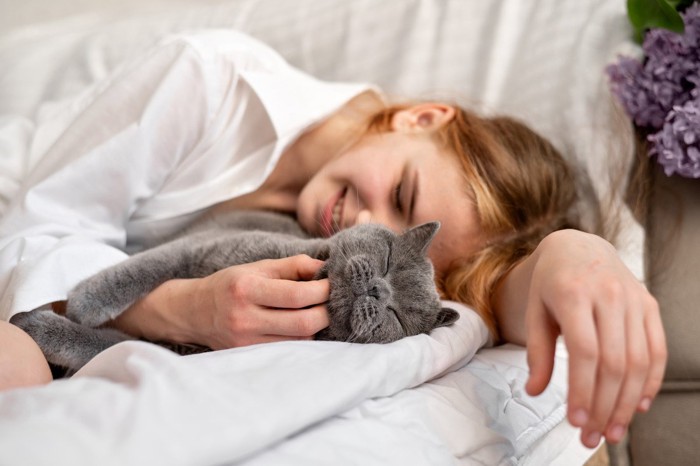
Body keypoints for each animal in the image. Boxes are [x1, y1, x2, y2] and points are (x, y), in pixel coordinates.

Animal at [12, 211, 460, 372]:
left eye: (398, 316)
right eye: (387, 260)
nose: (379, 290)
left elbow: (107, 345)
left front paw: (37, 328)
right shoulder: (199, 246)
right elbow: (143, 268)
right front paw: (85, 302)